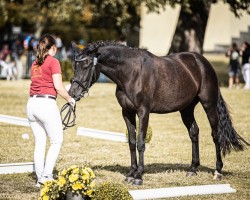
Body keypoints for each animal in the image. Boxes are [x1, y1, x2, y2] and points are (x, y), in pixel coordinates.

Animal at [68, 41, 248, 186]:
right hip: (186, 108)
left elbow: (141, 142)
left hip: (208, 104)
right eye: (74, 66)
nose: (72, 93)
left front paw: (139, 176)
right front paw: (131, 173)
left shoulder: (143, 112)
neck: (131, 73)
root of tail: (203, 62)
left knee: (215, 134)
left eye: (86, 65)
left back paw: (218, 171)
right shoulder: (127, 112)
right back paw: (192, 169)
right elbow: (131, 142)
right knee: (194, 132)